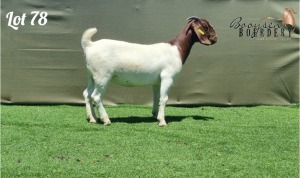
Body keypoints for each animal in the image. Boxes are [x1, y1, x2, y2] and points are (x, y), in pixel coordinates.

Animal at [81, 16, 217, 125]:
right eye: (205, 25)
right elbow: (164, 98)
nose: (215, 38)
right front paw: (162, 121)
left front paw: (155, 115)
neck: (176, 49)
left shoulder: (157, 81)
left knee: (87, 94)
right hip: (103, 76)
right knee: (96, 96)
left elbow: (156, 97)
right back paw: (106, 120)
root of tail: (90, 45)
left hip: (91, 76)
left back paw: (92, 118)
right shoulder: (167, 77)